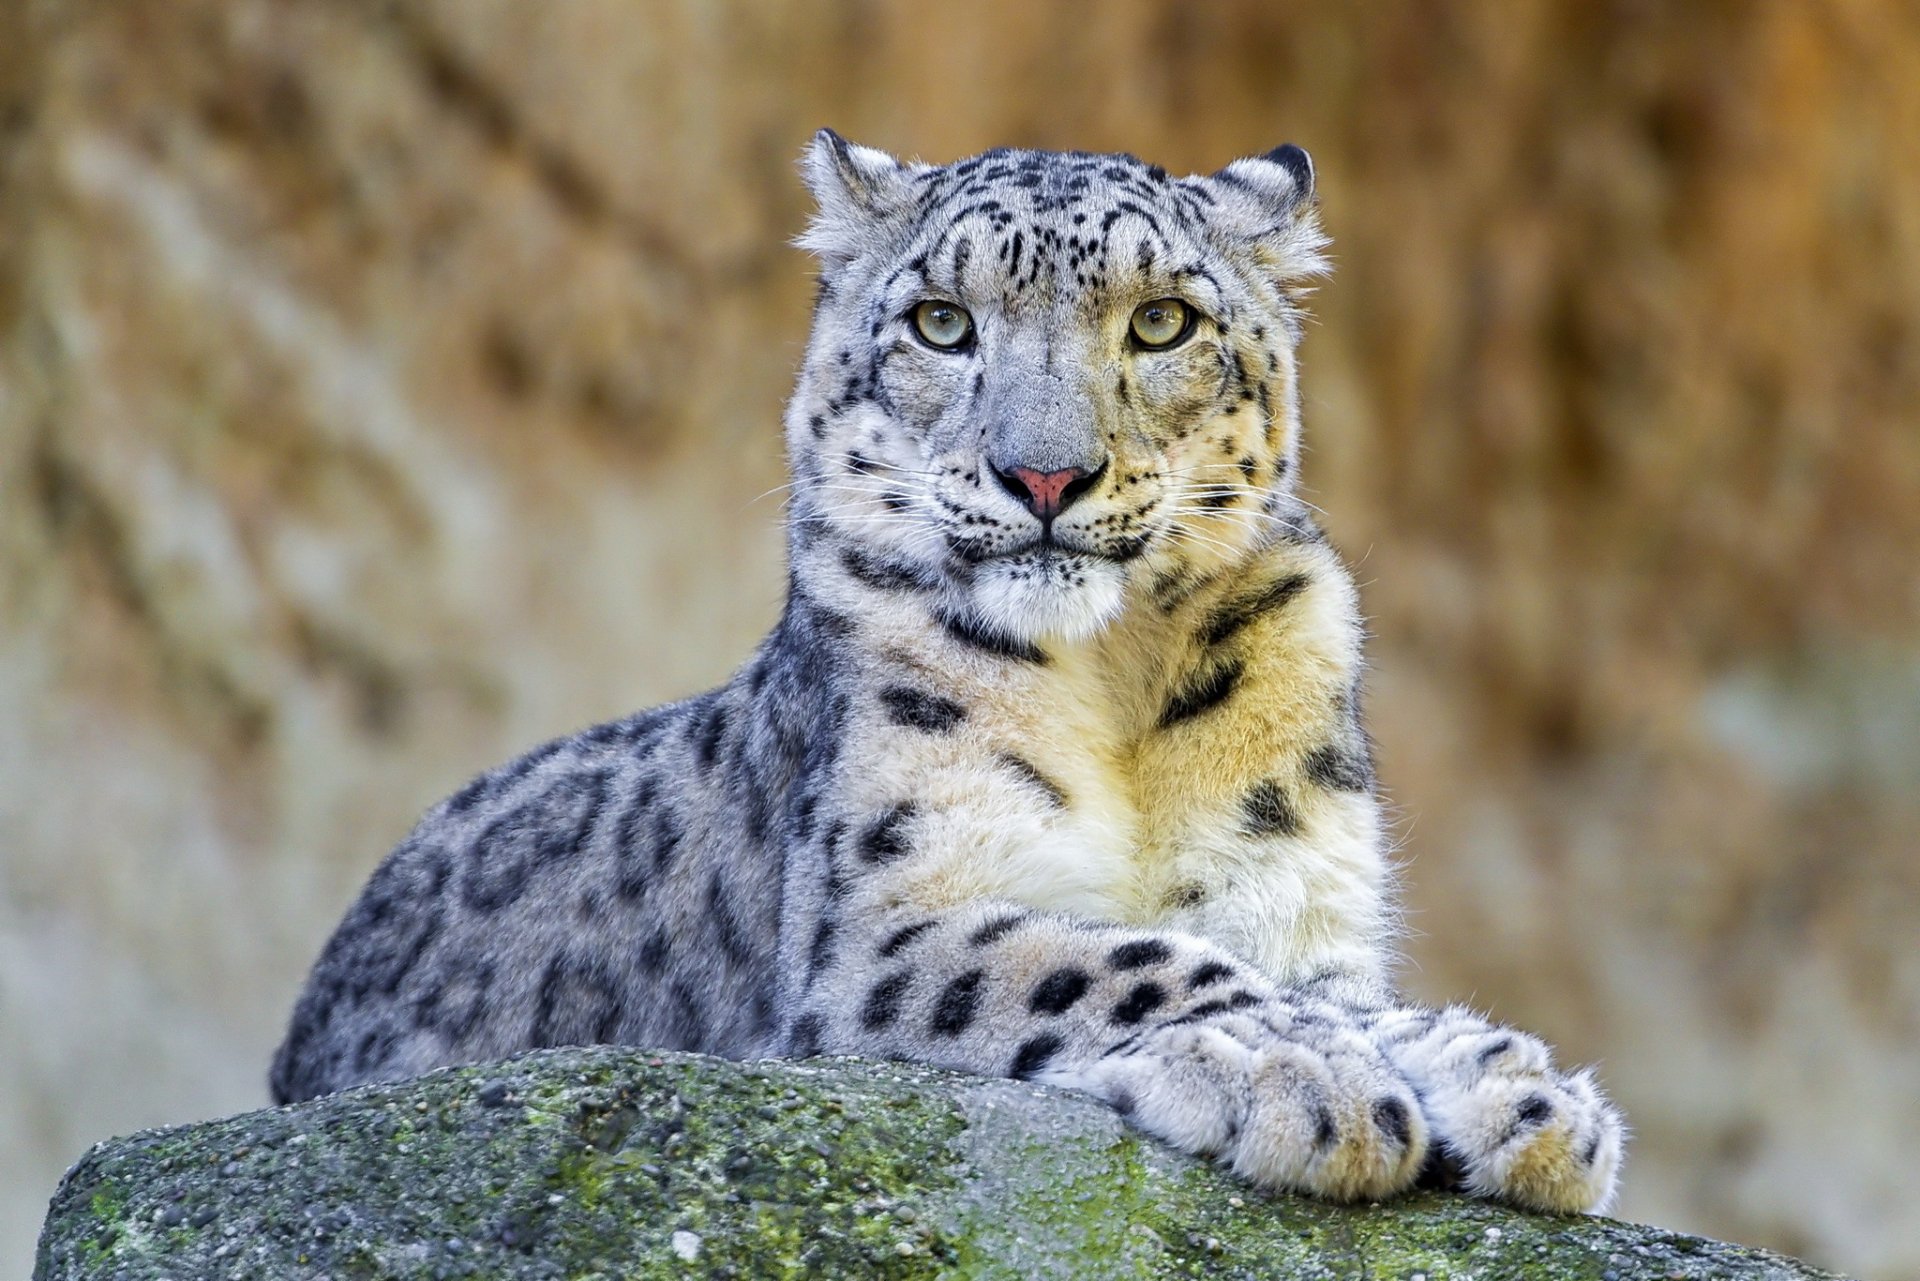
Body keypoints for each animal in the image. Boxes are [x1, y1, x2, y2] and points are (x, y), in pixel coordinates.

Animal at [271, 131, 1625, 1214]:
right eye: (940, 322)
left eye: (1161, 321)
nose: (1044, 475)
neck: (1118, 682)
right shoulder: (879, 929)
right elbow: (1119, 957)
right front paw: (1304, 1076)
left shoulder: (1293, 901)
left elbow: (1332, 989)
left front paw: (1519, 1090)